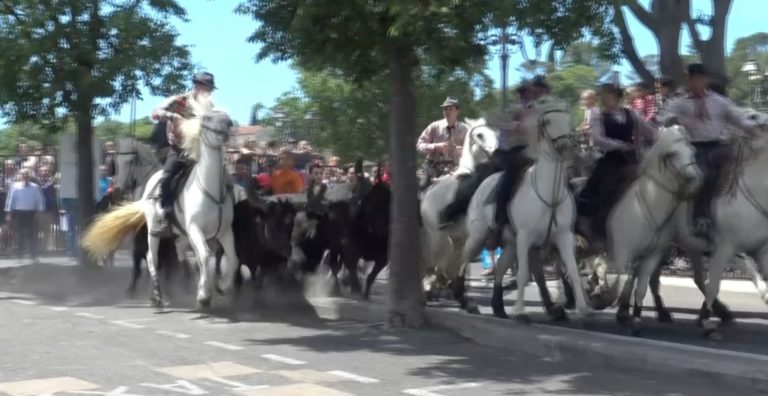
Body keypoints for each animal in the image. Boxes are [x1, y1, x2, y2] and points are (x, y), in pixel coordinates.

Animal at [420, 117, 498, 310]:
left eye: (494, 133)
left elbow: (460, 266)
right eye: (479, 135)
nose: (495, 152)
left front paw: (463, 297)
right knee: (432, 261)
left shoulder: (466, 239)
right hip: (437, 236)